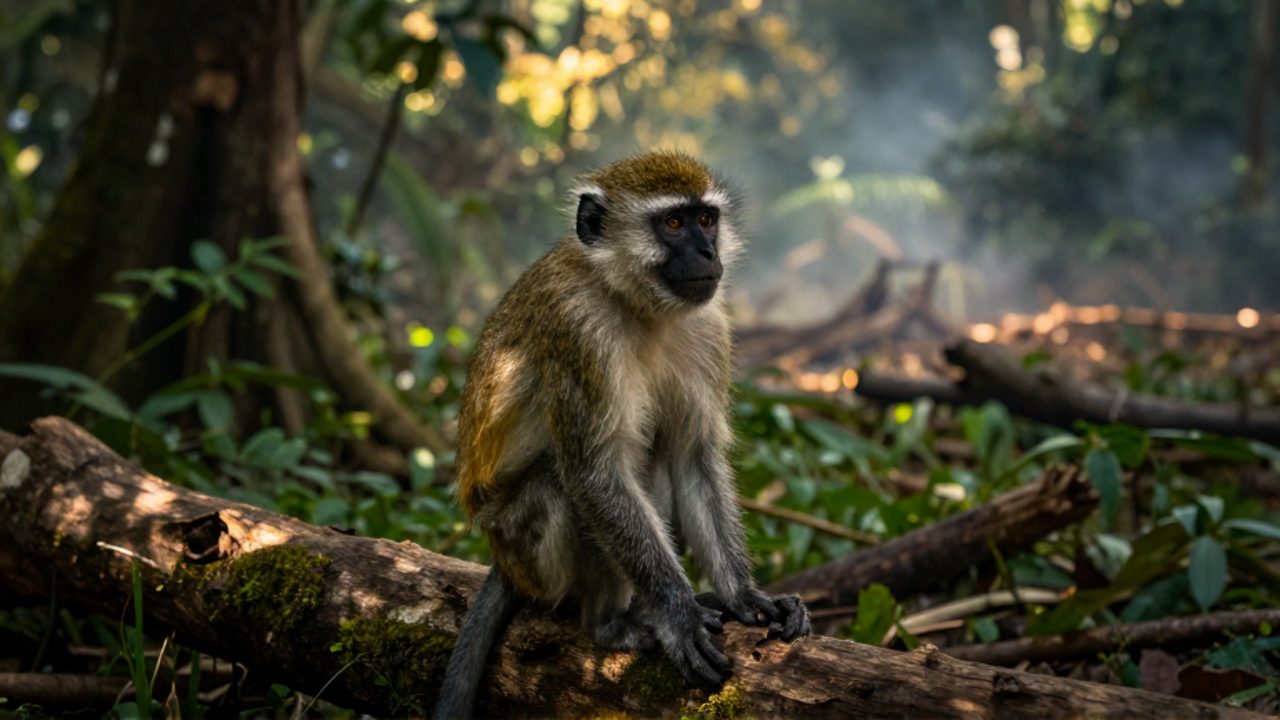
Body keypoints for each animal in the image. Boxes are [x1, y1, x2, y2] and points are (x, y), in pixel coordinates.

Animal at [433, 150, 810, 719]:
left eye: (706, 220)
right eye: (672, 224)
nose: (706, 252)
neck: (635, 302)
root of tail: (502, 561)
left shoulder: (708, 326)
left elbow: (692, 456)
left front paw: (743, 596)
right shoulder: (579, 332)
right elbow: (595, 475)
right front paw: (678, 615)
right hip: (524, 549)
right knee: (563, 485)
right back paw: (609, 624)